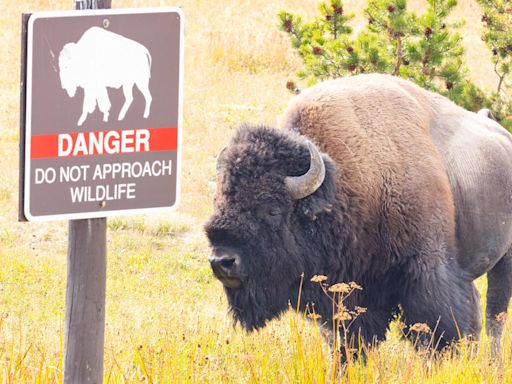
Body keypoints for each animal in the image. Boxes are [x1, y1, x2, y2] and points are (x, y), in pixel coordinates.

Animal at [205, 73, 512, 352]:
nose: (222, 261)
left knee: (494, 316)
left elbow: (437, 331)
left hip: (504, 260)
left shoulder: (427, 271)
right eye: (220, 201)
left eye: (272, 210)